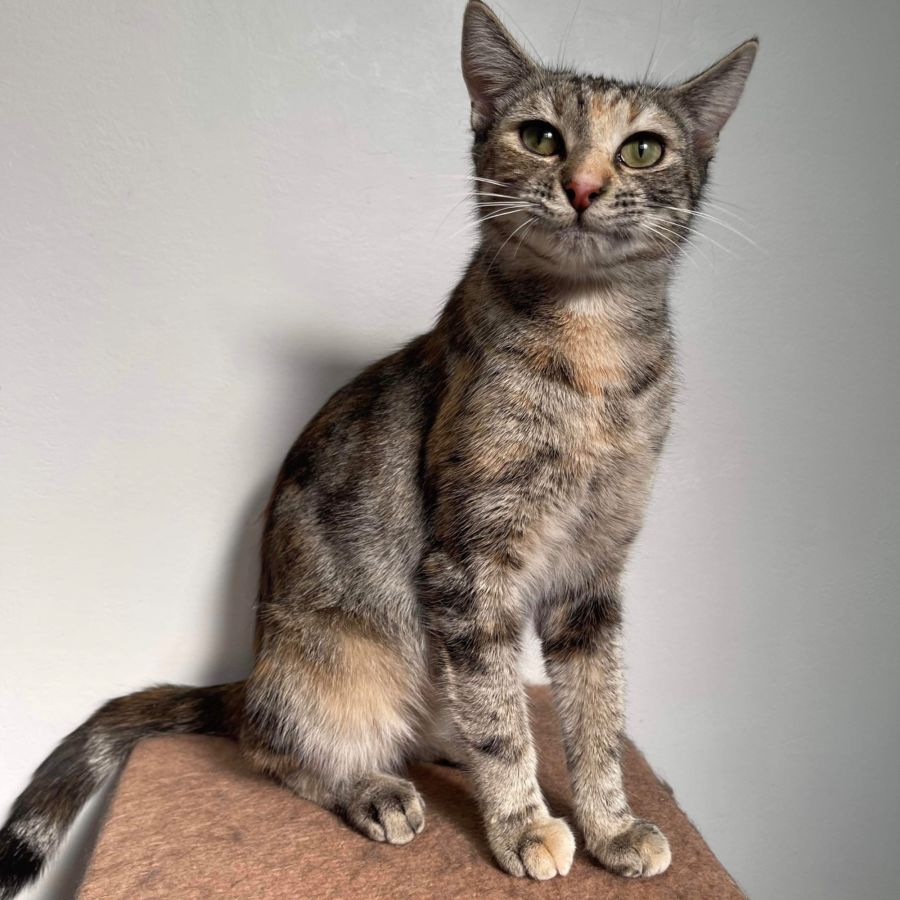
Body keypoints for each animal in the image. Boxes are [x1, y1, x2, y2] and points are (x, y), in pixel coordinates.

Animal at [0, 1, 757, 894]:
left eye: (643, 148)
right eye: (540, 137)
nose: (582, 187)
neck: (595, 362)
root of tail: (249, 677)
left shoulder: (591, 576)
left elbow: (596, 717)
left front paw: (607, 823)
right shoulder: (469, 566)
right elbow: (503, 718)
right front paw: (523, 824)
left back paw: (444, 747)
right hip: (341, 664)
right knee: (281, 749)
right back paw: (374, 786)